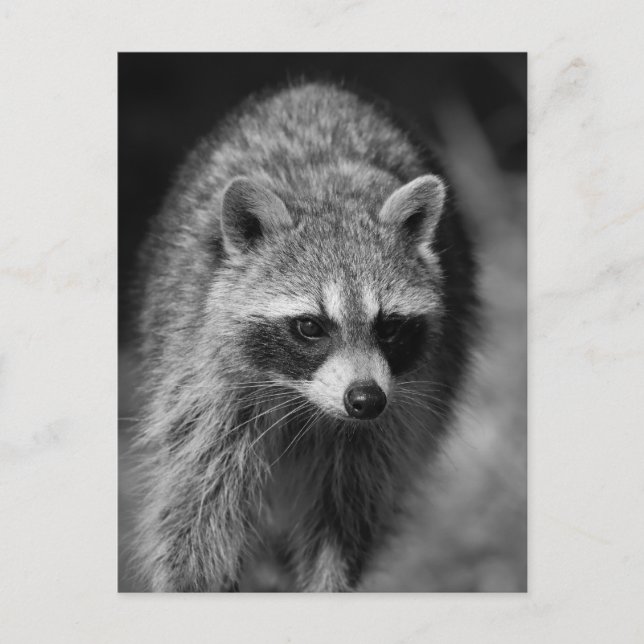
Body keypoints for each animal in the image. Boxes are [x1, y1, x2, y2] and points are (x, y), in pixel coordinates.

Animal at [131, 81, 478, 592]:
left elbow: (346, 514)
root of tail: (314, 88)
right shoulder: (201, 381)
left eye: (389, 327)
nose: (365, 400)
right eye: (311, 327)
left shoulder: (390, 422)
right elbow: (196, 508)